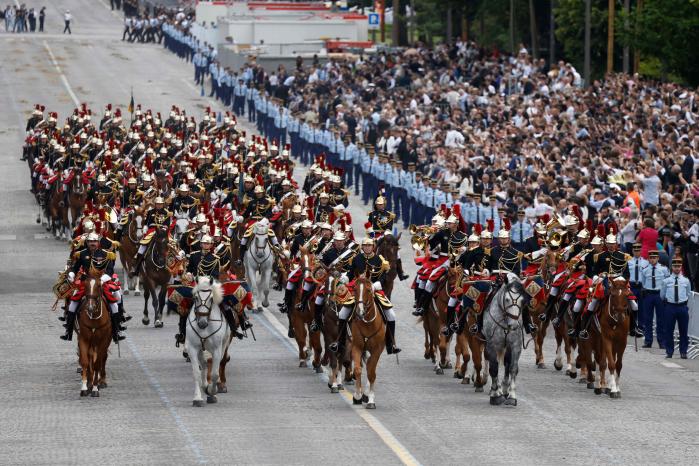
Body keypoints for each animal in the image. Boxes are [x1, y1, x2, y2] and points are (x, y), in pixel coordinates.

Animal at [186, 278, 232, 406]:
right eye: (196, 297)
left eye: (211, 298)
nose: (202, 323)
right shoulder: (192, 348)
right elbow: (196, 372)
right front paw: (197, 398)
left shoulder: (217, 349)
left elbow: (215, 373)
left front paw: (212, 392)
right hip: (201, 349)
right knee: (204, 364)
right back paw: (204, 385)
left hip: (223, 345)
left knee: (217, 363)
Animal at [350, 274, 388, 410]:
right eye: (354, 289)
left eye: (368, 290)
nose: (359, 312)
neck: (368, 323)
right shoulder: (356, 346)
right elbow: (357, 369)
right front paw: (357, 396)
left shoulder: (377, 349)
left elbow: (371, 372)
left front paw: (370, 399)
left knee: (370, 366)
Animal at [484, 274, 528, 408]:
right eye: (507, 299)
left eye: (523, 300)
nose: (513, 325)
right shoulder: (491, 344)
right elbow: (494, 367)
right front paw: (495, 395)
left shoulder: (515, 345)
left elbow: (513, 367)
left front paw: (512, 395)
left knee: (506, 363)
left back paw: (503, 389)